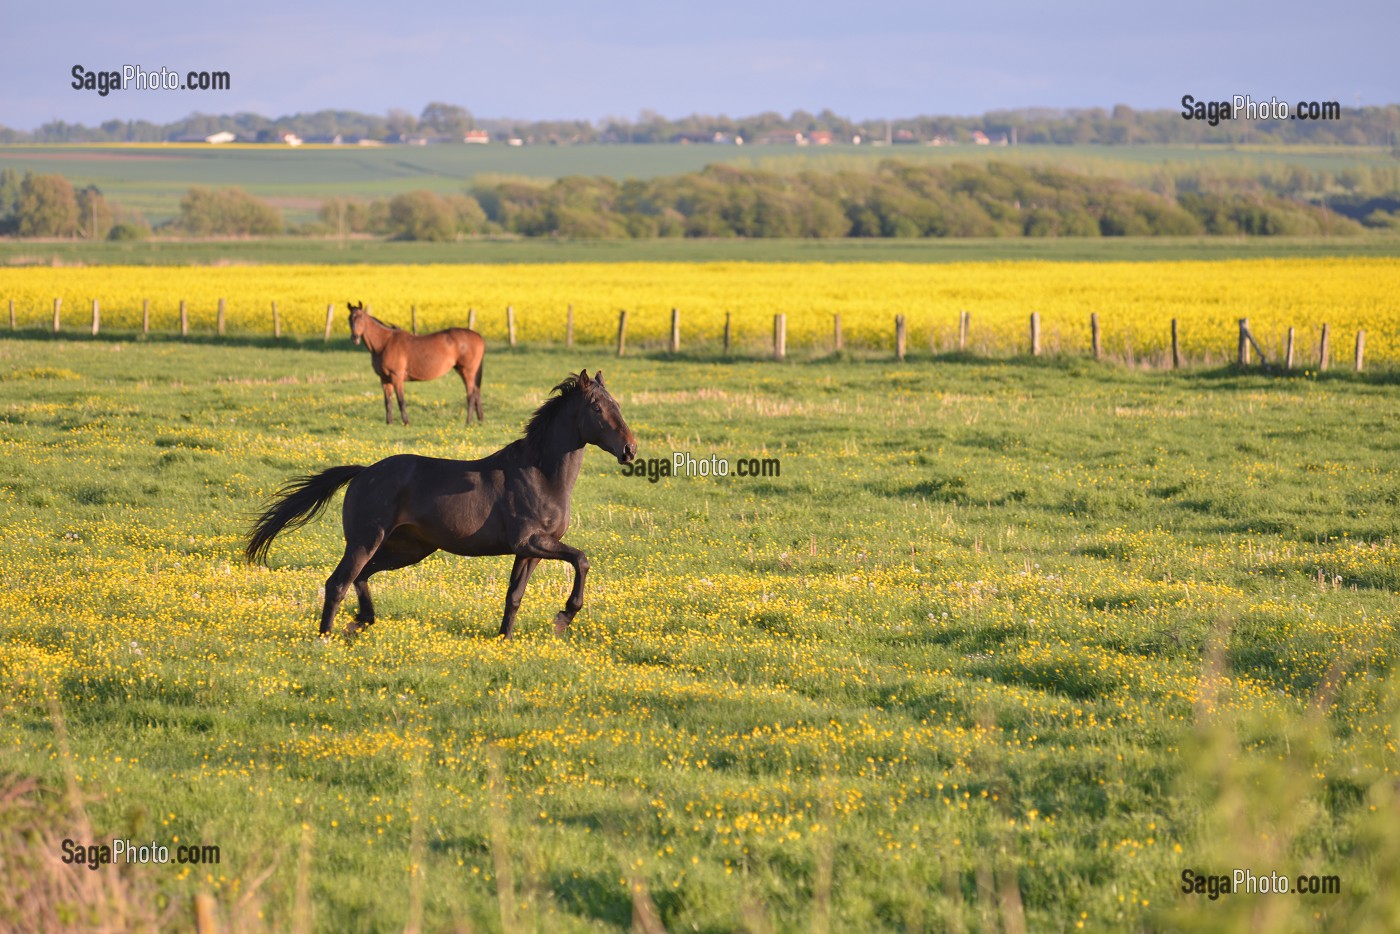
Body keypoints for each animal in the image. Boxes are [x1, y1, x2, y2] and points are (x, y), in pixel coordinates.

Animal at [246, 370, 637, 639]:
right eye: (597, 407)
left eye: (617, 404)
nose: (630, 449)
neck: (540, 473)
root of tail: (363, 472)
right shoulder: (529, 541)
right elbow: (581, 559)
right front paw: (563, 617)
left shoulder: (529, 551)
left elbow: (514, 596)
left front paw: (505, 639)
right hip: (365, 541)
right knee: (338, 582)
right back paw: (325, 638)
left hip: (410, 548)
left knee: (362, 577)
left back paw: (360, 623)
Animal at [347, 301, 485, 425]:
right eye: (349, 319)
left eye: (360, 317)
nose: (355, 338)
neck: (385, 343)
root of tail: (478, 336)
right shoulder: (384, 379)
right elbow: (388, 402)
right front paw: (389, 423)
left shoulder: (396, 377)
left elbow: (401, 400)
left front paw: (406, 422)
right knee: (477, 393)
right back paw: (480, 420)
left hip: (467, 372)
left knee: (471, 395)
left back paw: (468, 422)